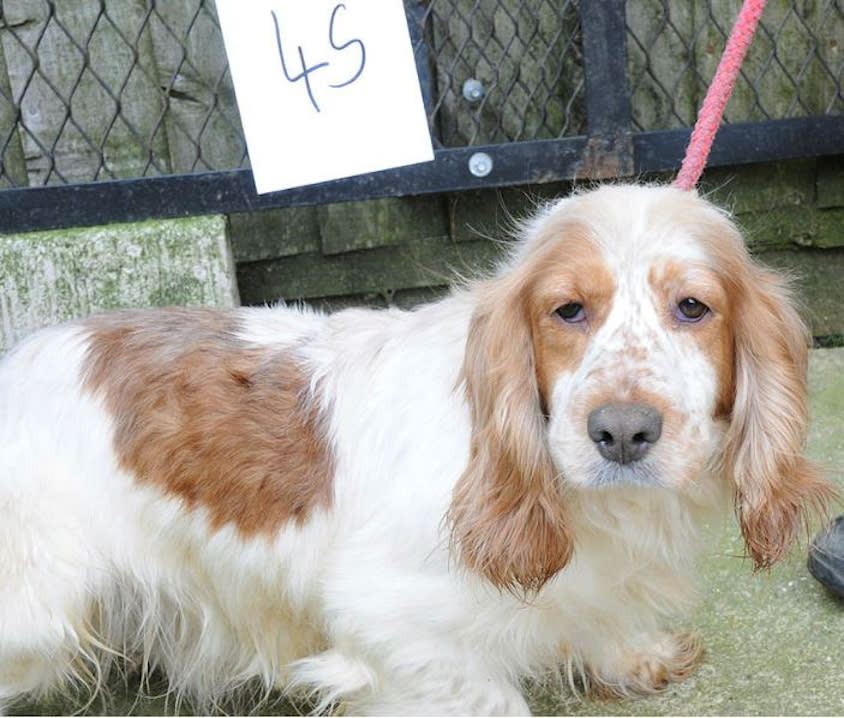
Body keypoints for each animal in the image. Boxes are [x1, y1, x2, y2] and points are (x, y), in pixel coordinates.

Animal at [0, 184, 832, 716]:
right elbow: (489, 696)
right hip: (39, 620)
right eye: (567, 309)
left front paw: (633, 655)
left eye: (693, 306)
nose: (622, 431)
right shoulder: (387, 621)